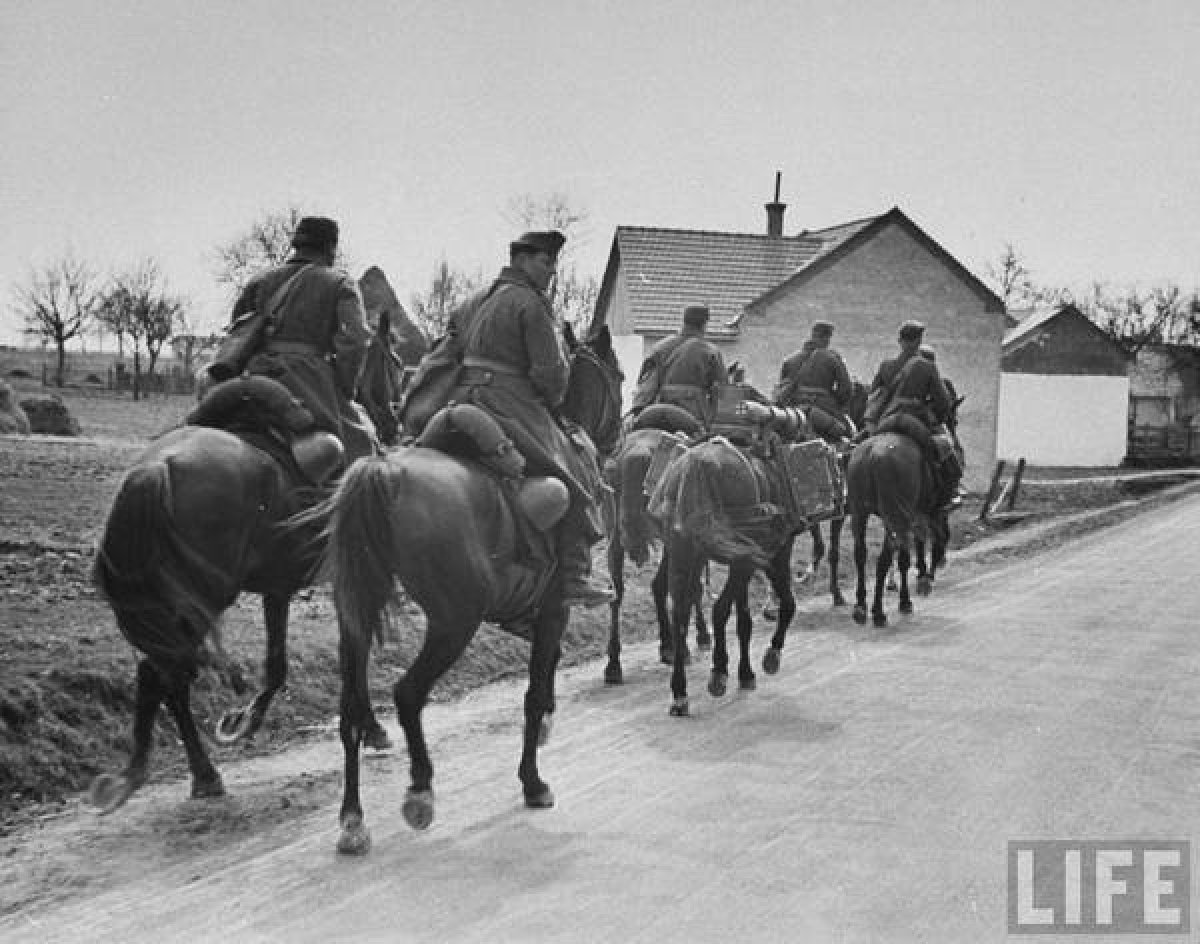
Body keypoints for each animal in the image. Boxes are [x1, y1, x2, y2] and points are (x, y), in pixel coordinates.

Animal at [87, 323, 403, 810]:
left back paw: (146, 768)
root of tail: (154, 471)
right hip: (200, 603)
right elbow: (351, 648)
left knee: (157, 674)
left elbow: (279, 663)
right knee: (168, 678)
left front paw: (249, 717)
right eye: (394, 363)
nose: (393, 419)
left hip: (167, 609)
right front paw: (369, 726)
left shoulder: (278, 587)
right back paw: (202, 773)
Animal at [324, 323, 624, 858]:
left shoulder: (539, 616)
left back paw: (353, 820)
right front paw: (533, 781)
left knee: (351, 712)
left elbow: (546, 673)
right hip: (453, 623)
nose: (617, 437)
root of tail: (384, 471)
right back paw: (420, 789)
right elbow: (533, 690)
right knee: (407, 694)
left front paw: (545, 729)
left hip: (355, 620)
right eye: (621, 377)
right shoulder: (554, 610)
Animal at [844, 395, 964, 628]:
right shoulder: (921, 514)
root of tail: (873, 456)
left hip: (861, 512)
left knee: (861, 554)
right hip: (897, 515)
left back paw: (861, 606)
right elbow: (917, 550)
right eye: (952, 419)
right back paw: (881, 611)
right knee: (889, 557)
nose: (956, 445)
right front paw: (918, 586)